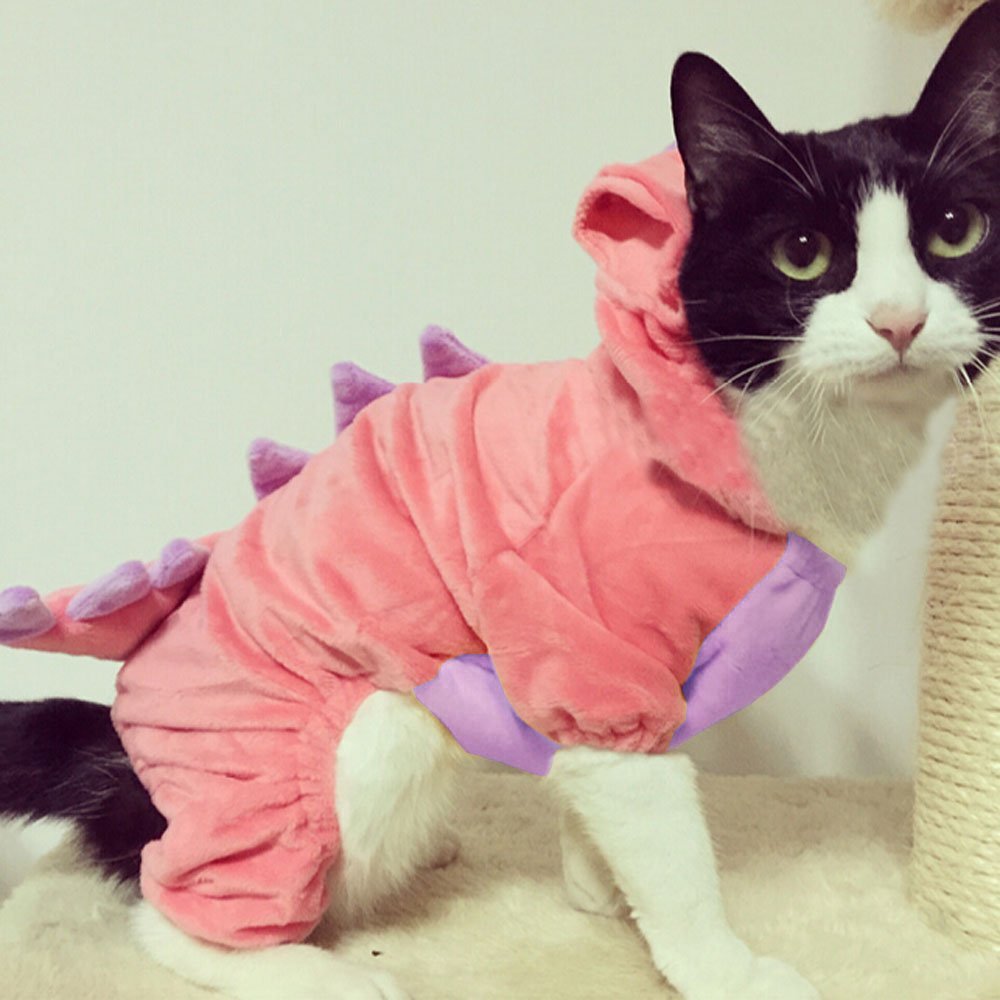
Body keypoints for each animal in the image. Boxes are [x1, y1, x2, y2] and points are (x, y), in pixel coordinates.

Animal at [5, 1, 1000, 1000]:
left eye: (956, 231)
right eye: (803, 253)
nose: (900, 320)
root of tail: (116, 754)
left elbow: (601, 793)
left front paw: (598, 888)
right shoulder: (594, 658)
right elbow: (668, 843)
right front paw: (723, 967)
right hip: (353, 743)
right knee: (165, 905)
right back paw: (317, 967)